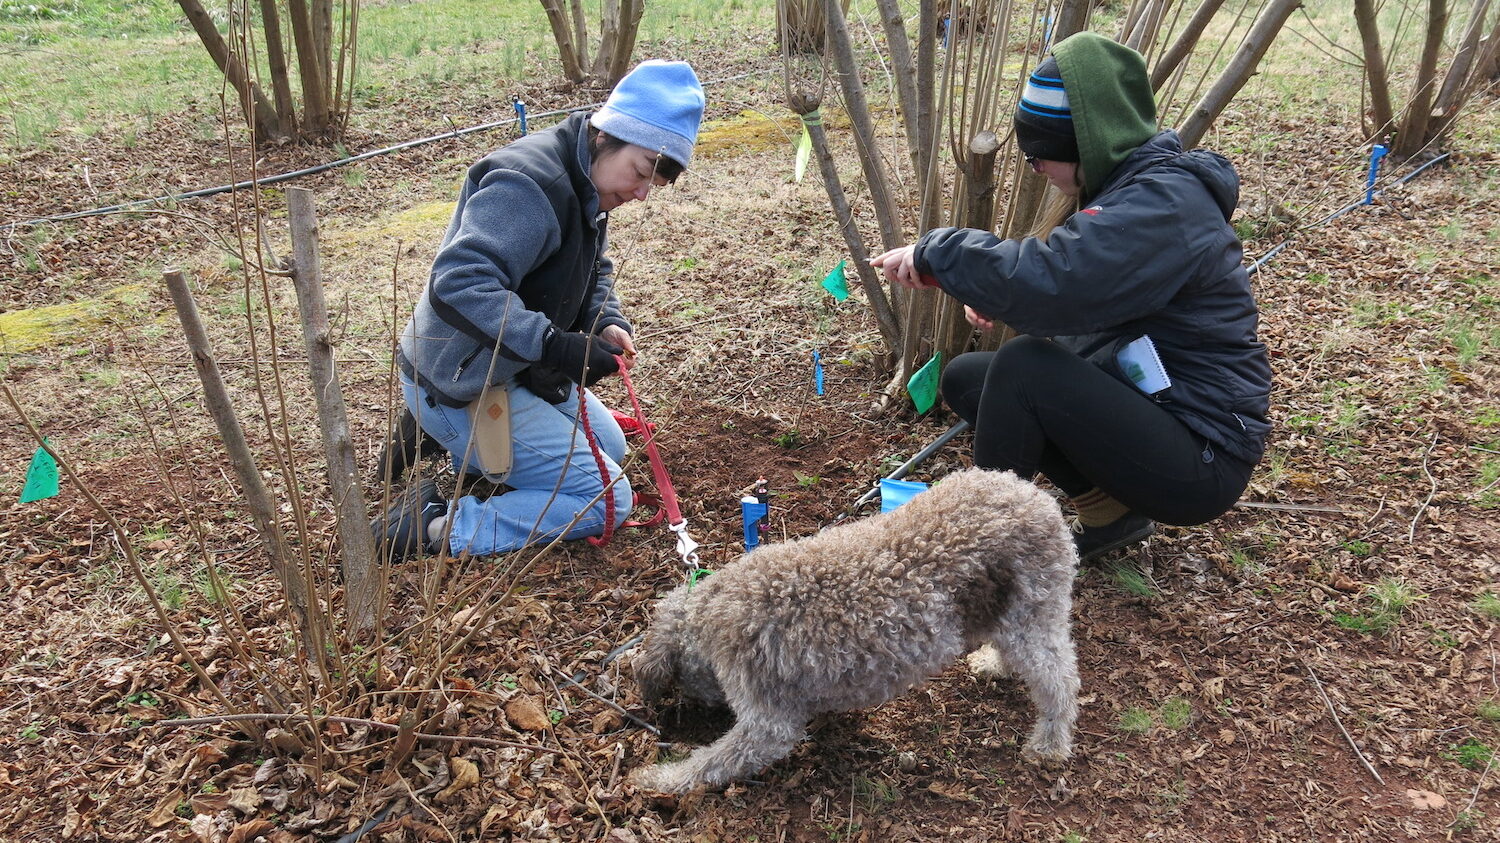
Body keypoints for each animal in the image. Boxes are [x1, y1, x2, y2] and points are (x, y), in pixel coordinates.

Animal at [630, 465, 1080, 786]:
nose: (695, 714)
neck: (714, 610)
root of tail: (1037, 496)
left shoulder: (767, 724)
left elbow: (709, 764)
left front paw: (659, 778)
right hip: (1010, 615)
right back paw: (995, 665)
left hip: (1034, 613)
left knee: (1061, 681)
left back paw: (1049, 744)